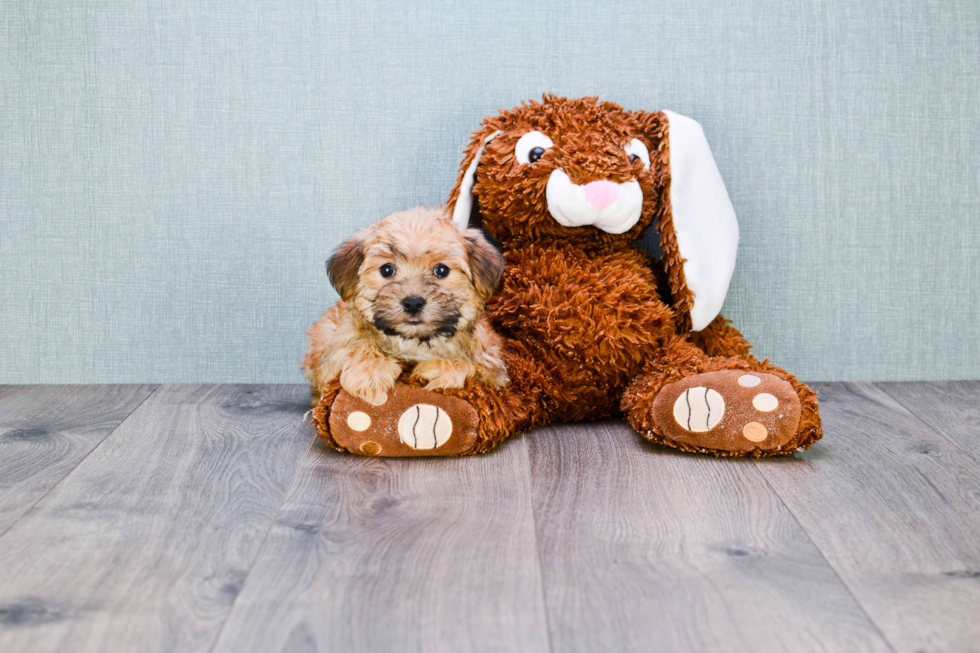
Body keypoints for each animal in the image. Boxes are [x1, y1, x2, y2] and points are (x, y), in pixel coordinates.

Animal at [302, 206, 510, 404]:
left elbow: (473, 365)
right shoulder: (336, 349)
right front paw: (369, 371)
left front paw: (443, 367)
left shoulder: (492, 368)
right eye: (387, 270)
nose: (413, 303)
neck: (414, 341)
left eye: (441, 270)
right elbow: (357, 344)